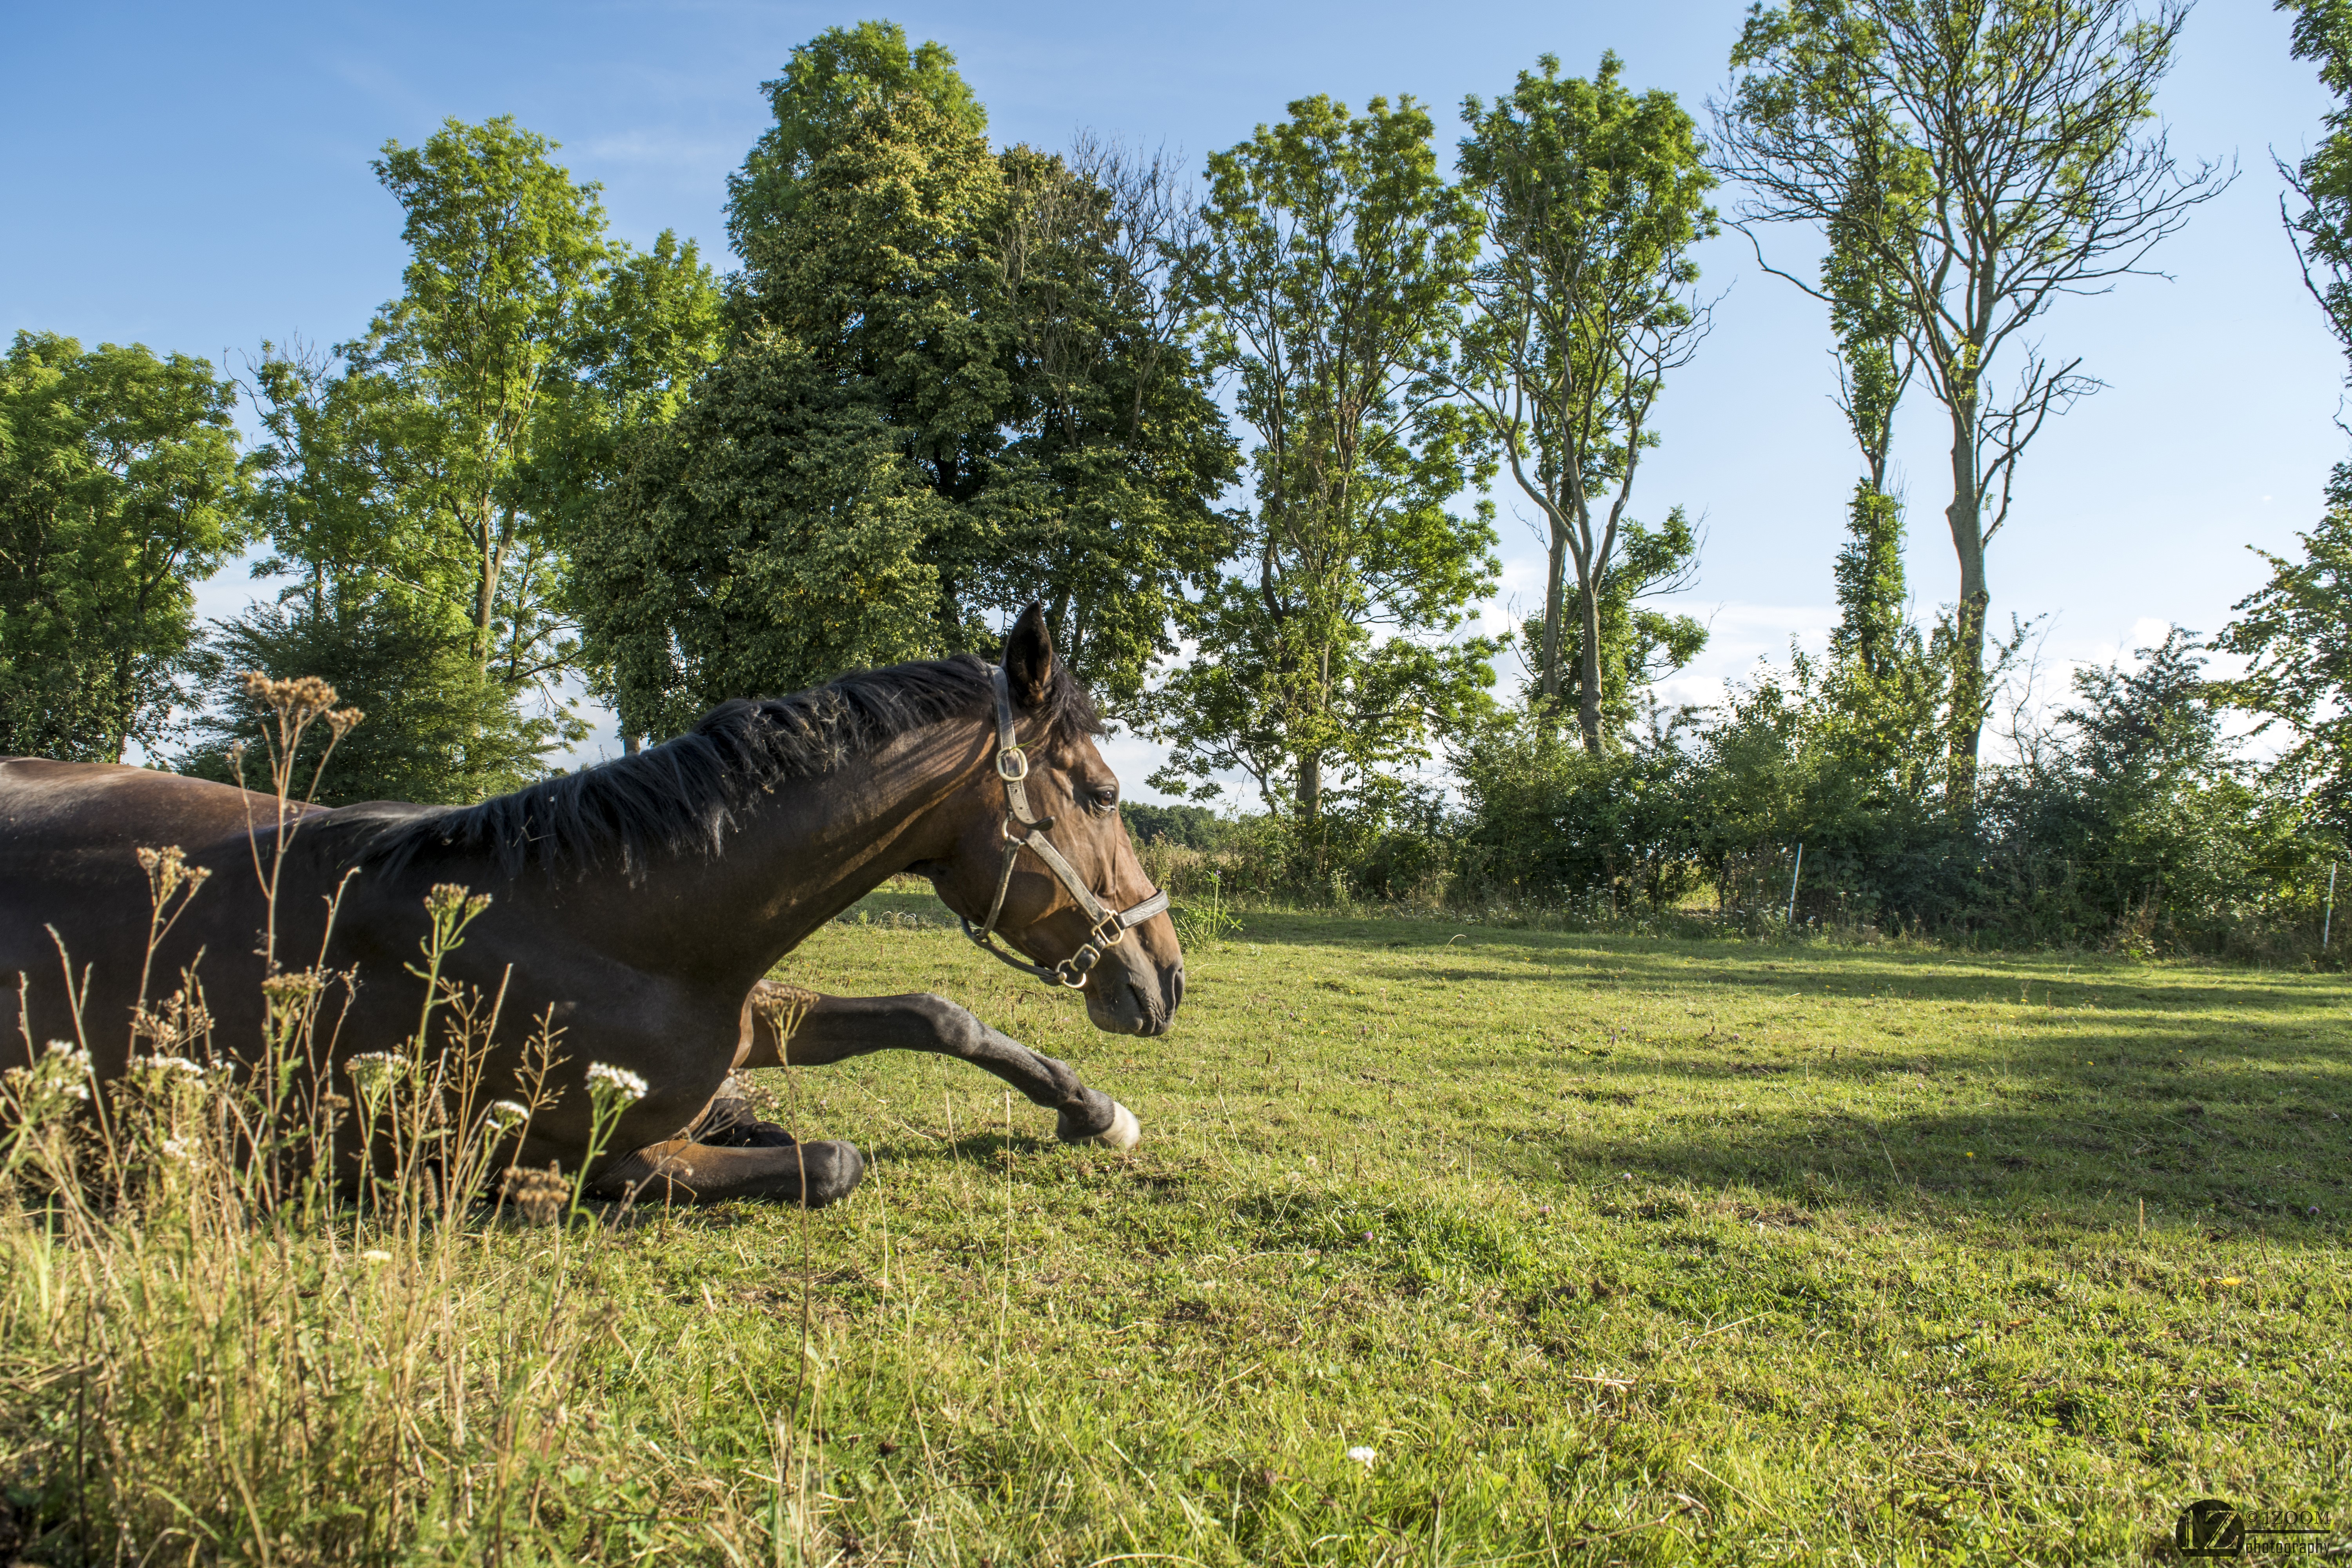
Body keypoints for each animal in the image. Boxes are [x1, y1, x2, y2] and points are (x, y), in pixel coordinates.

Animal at [0, 605, 1181, 1207]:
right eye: (1101, 792)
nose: (1165, 977)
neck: (594, 925)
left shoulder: (747, 1014)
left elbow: (941, 1014)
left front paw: (1095, 1111)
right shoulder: (571, 1145)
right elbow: (831, 1161)